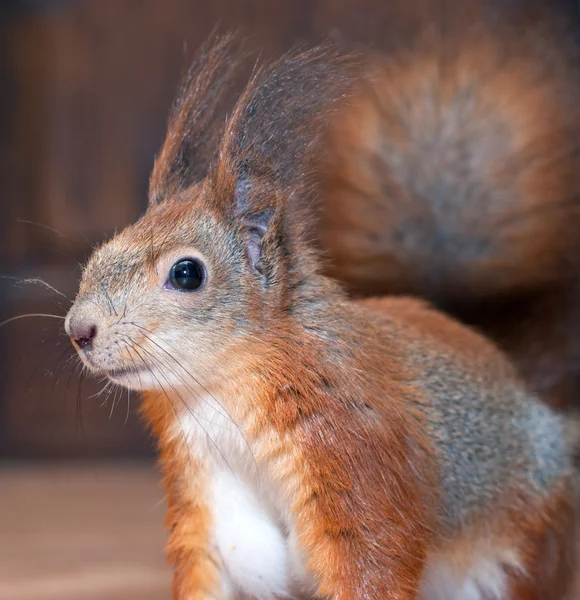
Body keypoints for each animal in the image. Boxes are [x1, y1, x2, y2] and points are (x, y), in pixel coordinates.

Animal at [65, 30, 576, 600]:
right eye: (103, 248)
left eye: (186, 273)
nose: (78, 330)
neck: (217, 394)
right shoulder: (208, 496)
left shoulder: (357, 455)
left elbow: (370, 562)